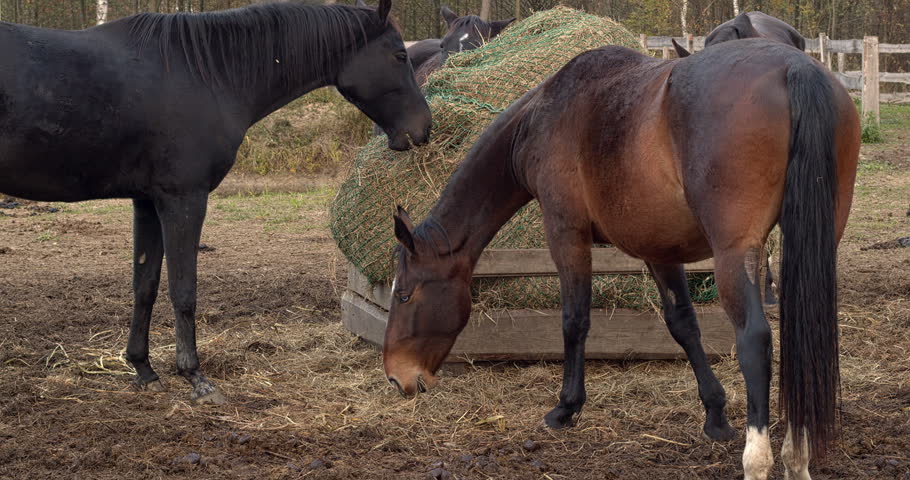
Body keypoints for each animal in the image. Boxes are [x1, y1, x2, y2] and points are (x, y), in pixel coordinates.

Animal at [0, 0, 431, 404]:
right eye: (400, 55)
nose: (423, 129)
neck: (205, 74)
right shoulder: (183, 199)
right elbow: (183, 290)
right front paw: (196, 377)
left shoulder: (147, 202)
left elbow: (145, 285)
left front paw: (143, 369)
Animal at [384, 40, 859, 480]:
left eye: (404, 294)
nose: (396, 376)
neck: (543, 116)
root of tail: (794, 66)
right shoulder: (660, 249)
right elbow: (683, 325)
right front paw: (715, 414)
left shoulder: (566, 233)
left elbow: (575, 320)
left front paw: (566, 408)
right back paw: (797, 455)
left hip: (734, 253)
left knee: (755, 340)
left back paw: (759, 458)